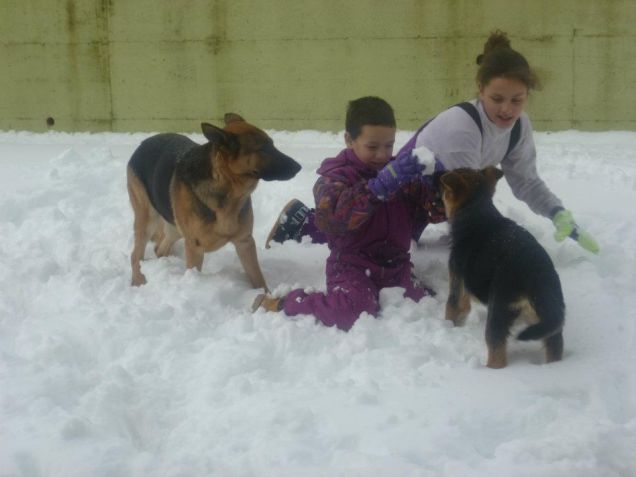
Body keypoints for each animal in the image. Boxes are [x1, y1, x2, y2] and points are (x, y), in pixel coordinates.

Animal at [128, 113, 302, 288]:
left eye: (272, 145)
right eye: (262, 149)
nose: (299, 167)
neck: (227, 188)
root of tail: (143, 143)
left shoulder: (245, 243)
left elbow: (258, 279)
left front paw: (265, 294)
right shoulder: (195, 249)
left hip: (175, 227)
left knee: (160, 248)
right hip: (148, 221)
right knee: (136, 255)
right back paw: (138, 281)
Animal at [440, 167, 564, 368]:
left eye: (444, 190)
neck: (477, 211)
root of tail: (536, 276)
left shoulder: (457, 279)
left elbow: (451, 308)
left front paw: (447, 328)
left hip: (498, 314)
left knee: (496, 353)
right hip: (550, 324)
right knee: (554, 348)